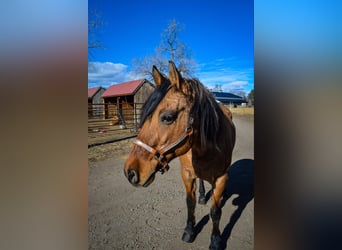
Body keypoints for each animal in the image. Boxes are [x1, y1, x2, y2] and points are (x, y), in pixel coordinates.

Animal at [124, 61, 236, 250]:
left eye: (167, 117)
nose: (130, 172)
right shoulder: (187, 174)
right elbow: (190, 203)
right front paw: (189, 230)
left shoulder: (221, 177)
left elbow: (215, 211)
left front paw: (215, 240)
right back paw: (202, 196)